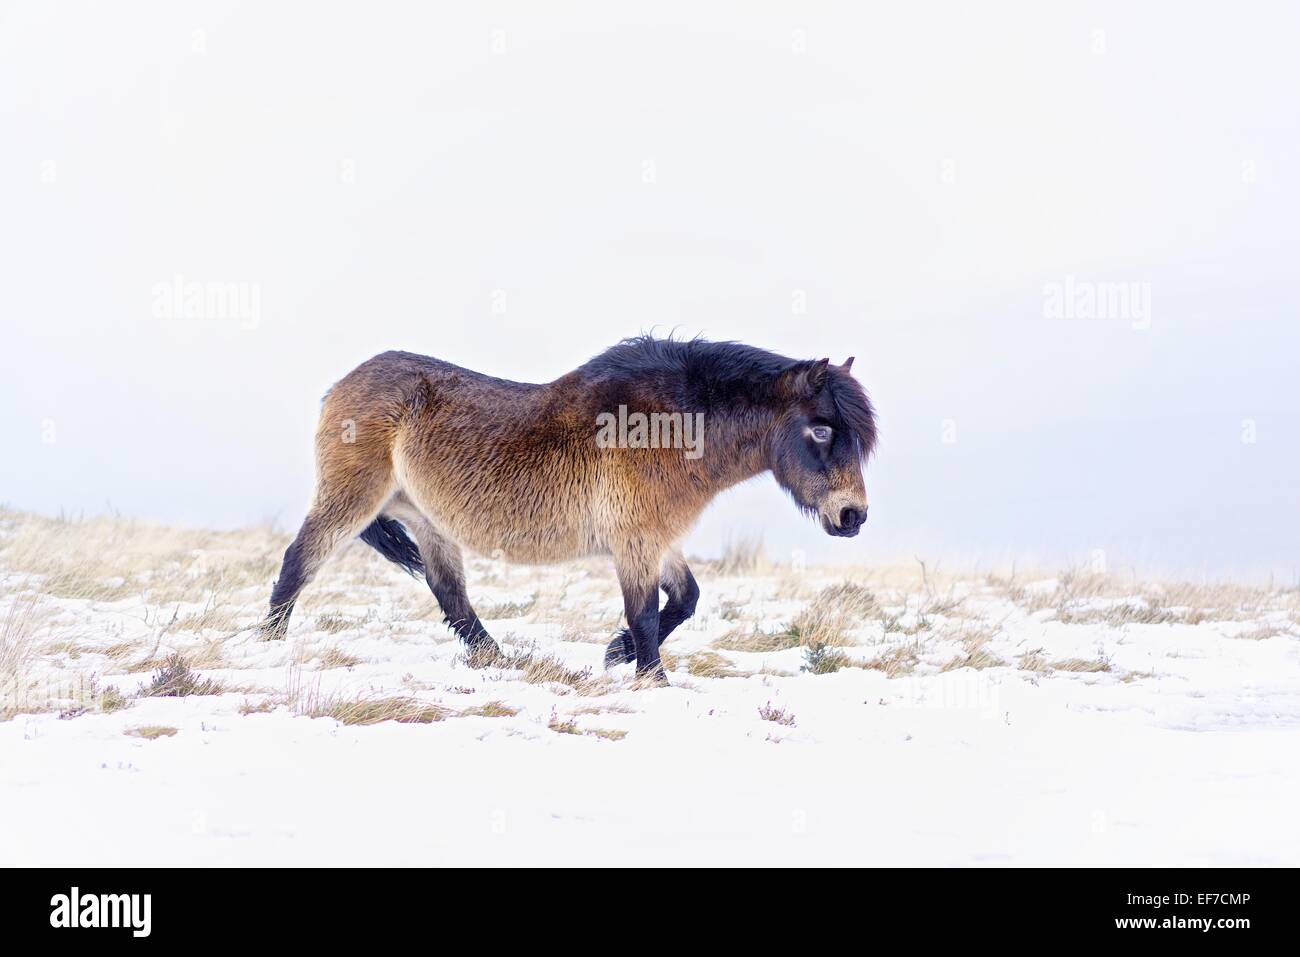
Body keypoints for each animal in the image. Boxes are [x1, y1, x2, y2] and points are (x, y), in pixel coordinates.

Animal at [260, 335, 878, 681]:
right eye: (822, 430)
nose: (853, 517)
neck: (670, 424)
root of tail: (340, 385)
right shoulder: (635, 542)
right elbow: (646, 612)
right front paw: (651, 680)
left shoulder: (659, 540)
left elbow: (685, 600)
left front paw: (615, 654)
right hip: (352, 499)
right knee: (299, 561)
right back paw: (265, 645)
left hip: (426, 520)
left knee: (450, 594)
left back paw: (500, 661)